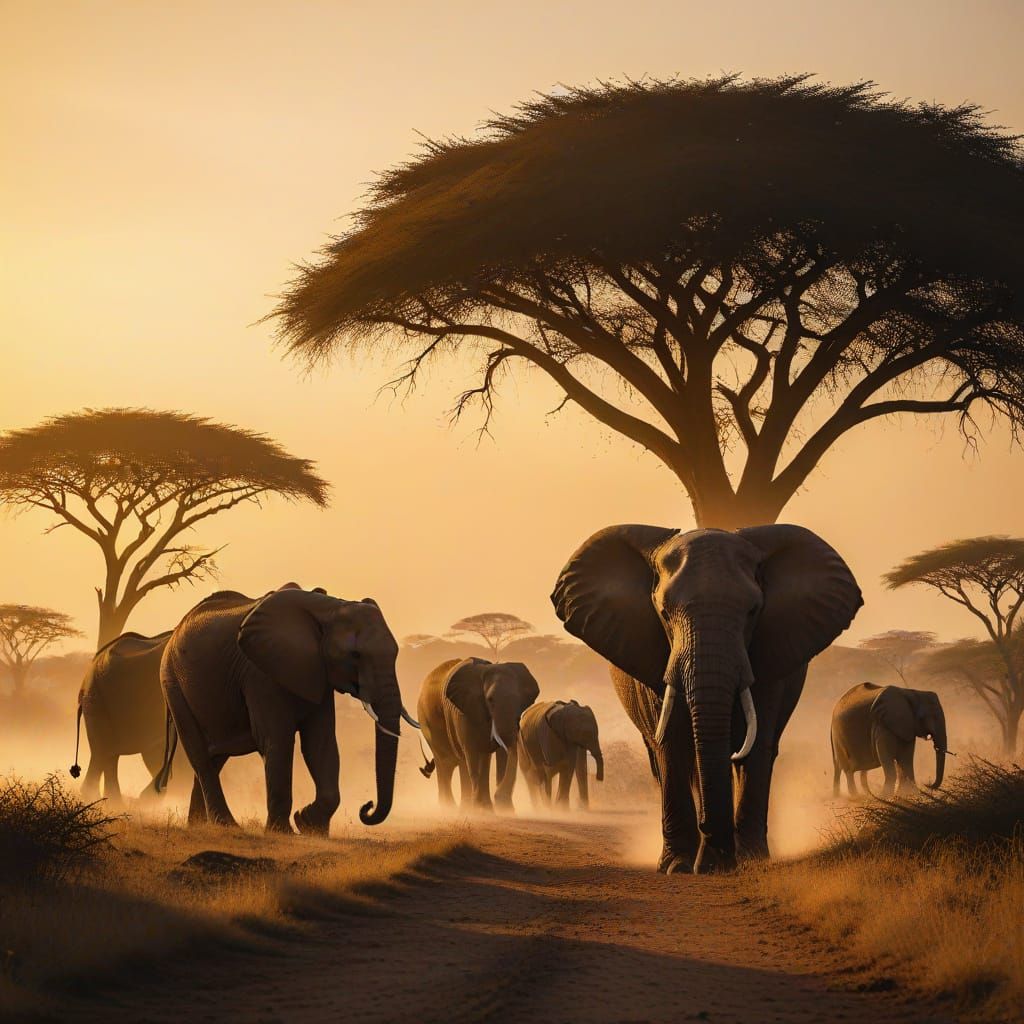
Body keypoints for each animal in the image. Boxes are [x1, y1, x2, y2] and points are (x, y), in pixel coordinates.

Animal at [158, 584, 418, 833]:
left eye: (395, 653)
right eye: (355, 655)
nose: (367, 807)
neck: (330, 609)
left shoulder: (319, 672)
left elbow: (320, 743)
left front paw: (309, 826)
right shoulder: (259, 673)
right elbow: (276, 740)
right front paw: (284, 831)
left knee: (215, 757)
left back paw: (200, 826)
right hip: (172, 682)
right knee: (200, 755)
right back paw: (226, 825)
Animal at [417, 657, 540, 811]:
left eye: (519, 699)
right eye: (490, 699)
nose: (498, 797)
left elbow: (499, 753)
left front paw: (502, 810)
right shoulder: (464, 711)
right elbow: (472, 751)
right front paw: (479, 809)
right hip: (427, 721)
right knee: (446, 762)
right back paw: (451, 808)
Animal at [552, 523, 862, 875]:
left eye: (753, 611)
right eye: (664, 613)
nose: (718, 851)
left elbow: (757, 746)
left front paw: (748, 860)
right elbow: (672, 743)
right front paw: (679, 866)